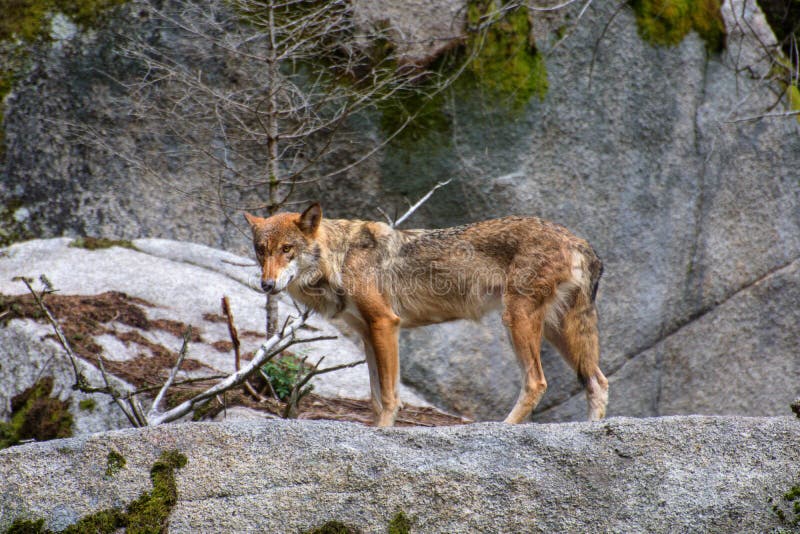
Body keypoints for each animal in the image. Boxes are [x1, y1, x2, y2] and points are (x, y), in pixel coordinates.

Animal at [244, 203, 608, 430]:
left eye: (287, 250)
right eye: (261, 251)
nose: (266, 285)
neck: (340, 257)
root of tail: (578, 240)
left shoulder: (385, 324)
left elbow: (389, 396)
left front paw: (384, 431)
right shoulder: (367, 333)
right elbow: (375, 397)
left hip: (516, 321)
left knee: (537, 381)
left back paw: (504, 427)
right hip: (557, 329)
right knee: (598, 381)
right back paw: (591, 430)